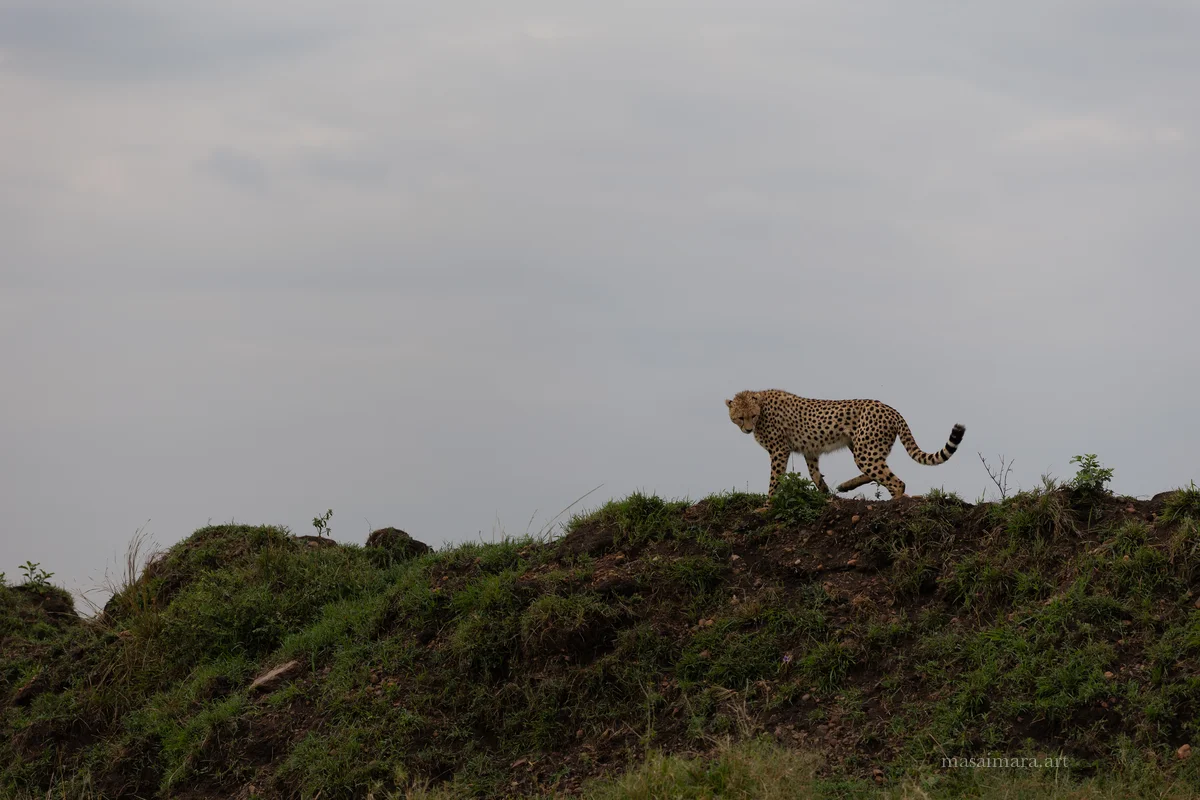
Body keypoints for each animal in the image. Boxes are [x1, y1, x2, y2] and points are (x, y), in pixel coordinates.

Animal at [725, 389, 965, 500]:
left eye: (752, 416)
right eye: (740, 417)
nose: (747, 429)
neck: (762, 405)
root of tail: (891, 409)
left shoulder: (779, 451)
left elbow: (775, 479)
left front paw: (767, 505)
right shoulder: (810, 450)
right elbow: (814, 474)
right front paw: (826, 494)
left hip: (865, 450)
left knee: (896, 481)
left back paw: (895, 502)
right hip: (863, 447)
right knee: (879, 472)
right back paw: (845, 486)